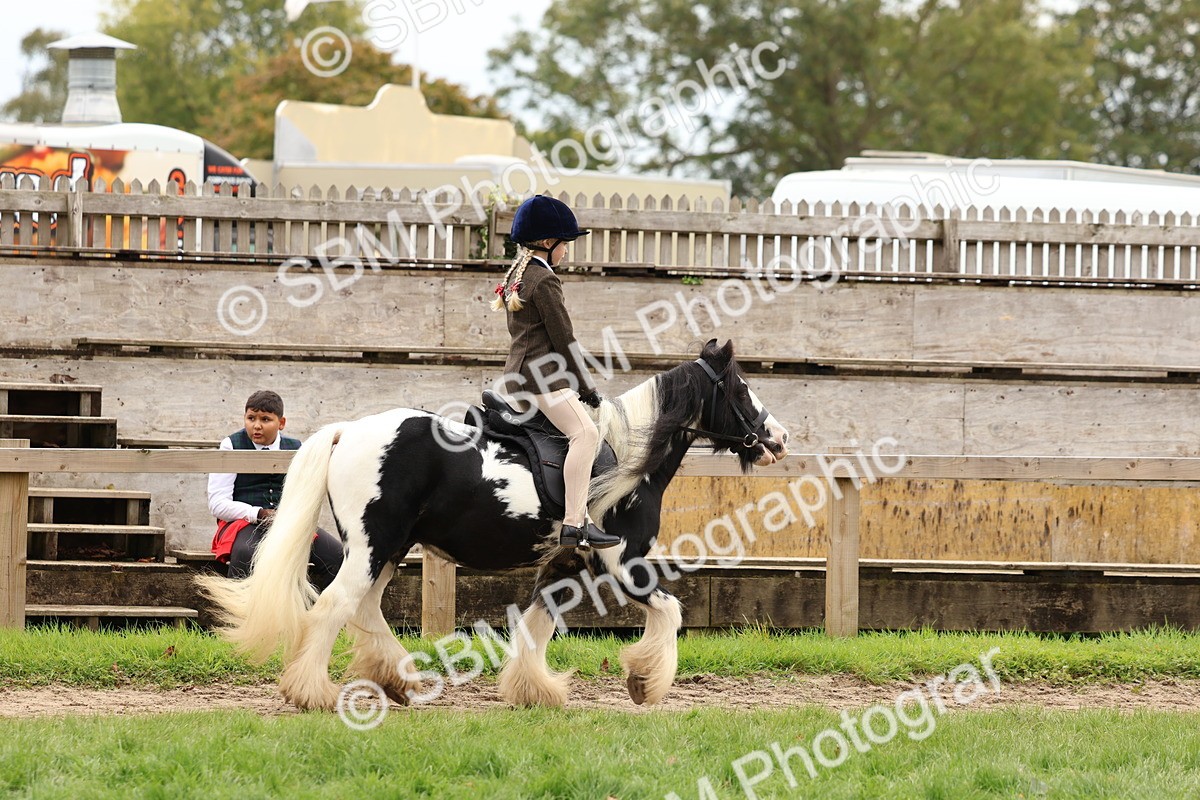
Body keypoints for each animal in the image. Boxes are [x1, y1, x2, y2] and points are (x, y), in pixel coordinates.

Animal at [198, 338, 789, 710]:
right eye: (740, 389)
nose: (779, 438)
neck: (625, 457)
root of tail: (351, 430)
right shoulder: (621, 559)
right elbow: (669, 610)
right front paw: (645, 682)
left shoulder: (566, 563)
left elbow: (537, 624)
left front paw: (536, 692)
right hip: (373, 546)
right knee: (333, 608)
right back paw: (312, 693)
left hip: (386, 548)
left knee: (364, 609)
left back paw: (400, 682)